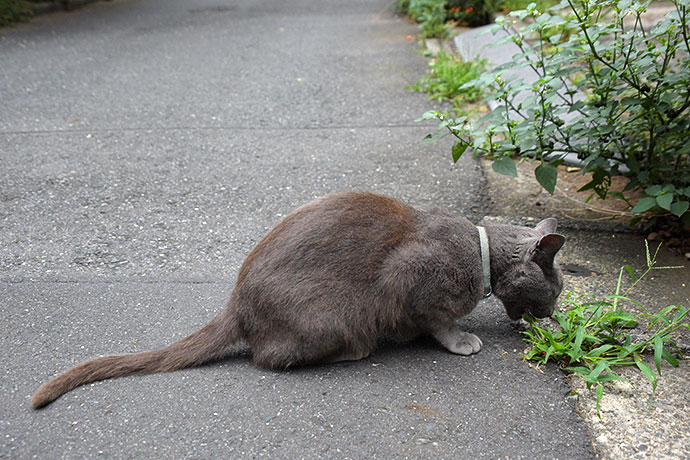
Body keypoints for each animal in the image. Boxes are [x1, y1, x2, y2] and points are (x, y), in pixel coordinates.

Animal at [29, 192, 560, 408]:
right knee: (269, 356)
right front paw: (461, 339)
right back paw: (355, 350)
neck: (482, 251)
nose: (554, 315)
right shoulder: (407, 276)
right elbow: (439, 320)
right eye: (554, 293)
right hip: (333, 313)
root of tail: (236, 301)